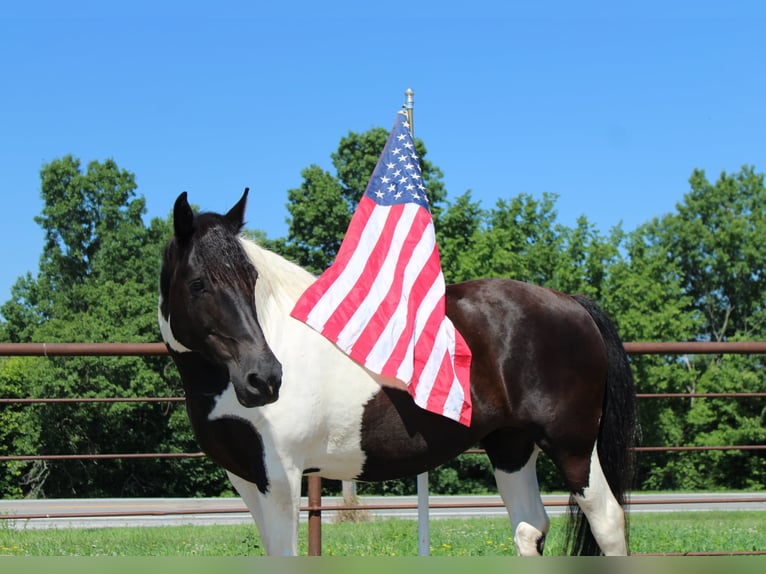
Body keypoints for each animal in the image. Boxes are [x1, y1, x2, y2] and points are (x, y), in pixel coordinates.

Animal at [158, 188, 639, 556]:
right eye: (198, 283)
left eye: (251, 280)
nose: (264, 378)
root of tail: (573, 303)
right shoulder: (247, 479)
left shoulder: (281, 478)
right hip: (511, 446)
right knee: (528, 528)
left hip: (572, 447)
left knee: (607, 522)